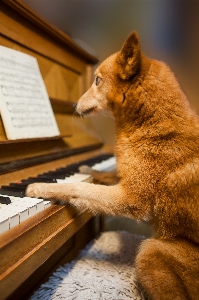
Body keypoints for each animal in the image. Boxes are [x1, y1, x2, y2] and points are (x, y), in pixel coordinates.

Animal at [26, 31, 199, 300]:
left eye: (96, 80)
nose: (73, 105)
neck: (148, 124)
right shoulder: (123, 181)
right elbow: (100, 175)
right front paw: (84, 169)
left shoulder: (130, 197)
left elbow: (79, 188)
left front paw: (40, 187)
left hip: (150, 252)